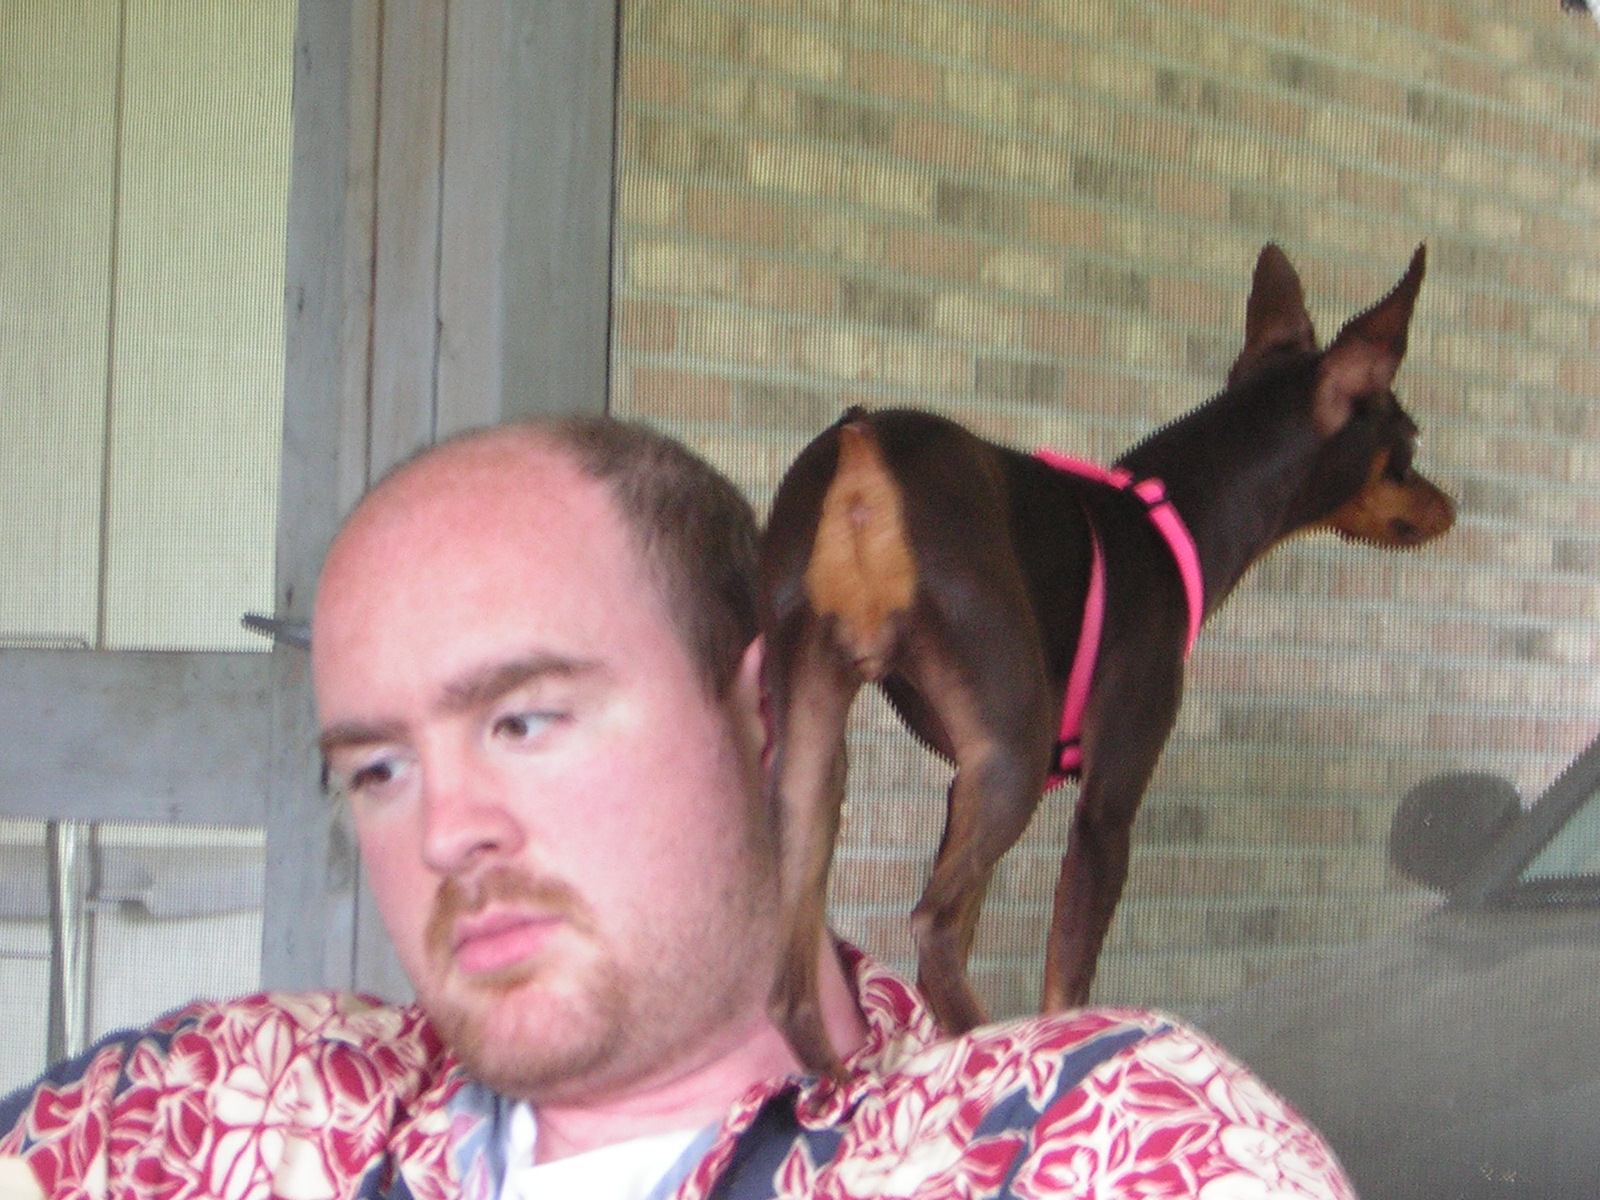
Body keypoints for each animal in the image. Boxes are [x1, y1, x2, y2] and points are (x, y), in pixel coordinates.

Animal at [757, 244, 1455, 1076]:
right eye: (1407, 451)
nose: (1452, 507)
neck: (1171, 516)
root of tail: (862, 452)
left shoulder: (963, 788)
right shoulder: (1106, 807)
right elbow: (1067, 981)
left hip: (811, 756)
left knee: (797, 985)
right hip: (1013, 754)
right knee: (933, 930)